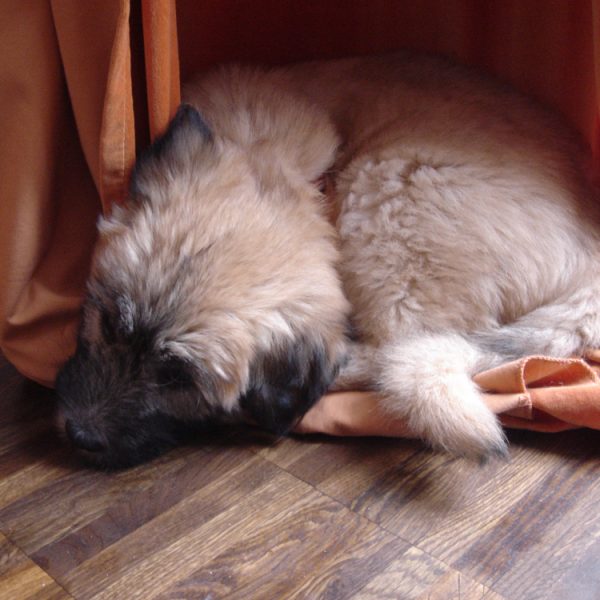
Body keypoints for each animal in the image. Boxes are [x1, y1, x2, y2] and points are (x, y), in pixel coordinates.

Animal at [56, 52, 600, 468]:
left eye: (177, 378)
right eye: (108, 323)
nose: (79, 435)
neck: (285, 172)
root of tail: (590, 260)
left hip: (392, 185)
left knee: (395, 349)